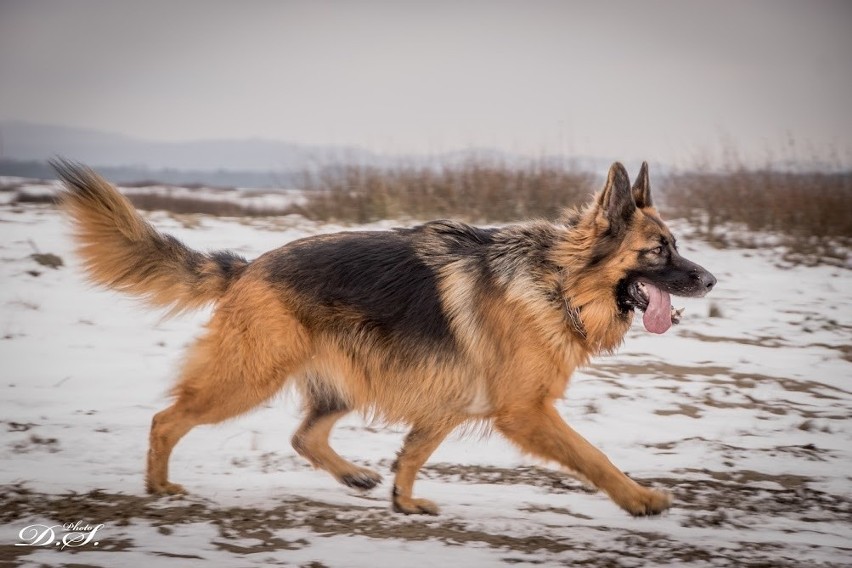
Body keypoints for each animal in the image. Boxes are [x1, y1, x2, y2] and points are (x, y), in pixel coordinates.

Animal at [56, 159, 716, 516]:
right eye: (659, 251)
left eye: (676, 245)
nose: (710, 280)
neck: (559, 281)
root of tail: (248, 268)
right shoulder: (526, 412)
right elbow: (593, 456)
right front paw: (640, 500)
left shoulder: (451, 402)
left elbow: (414, 453)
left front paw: (403, 500)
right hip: (246, 378)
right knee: (166, 420)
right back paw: (159, 486)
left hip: (339, 383)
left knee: (303, 435)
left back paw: (352, 476)